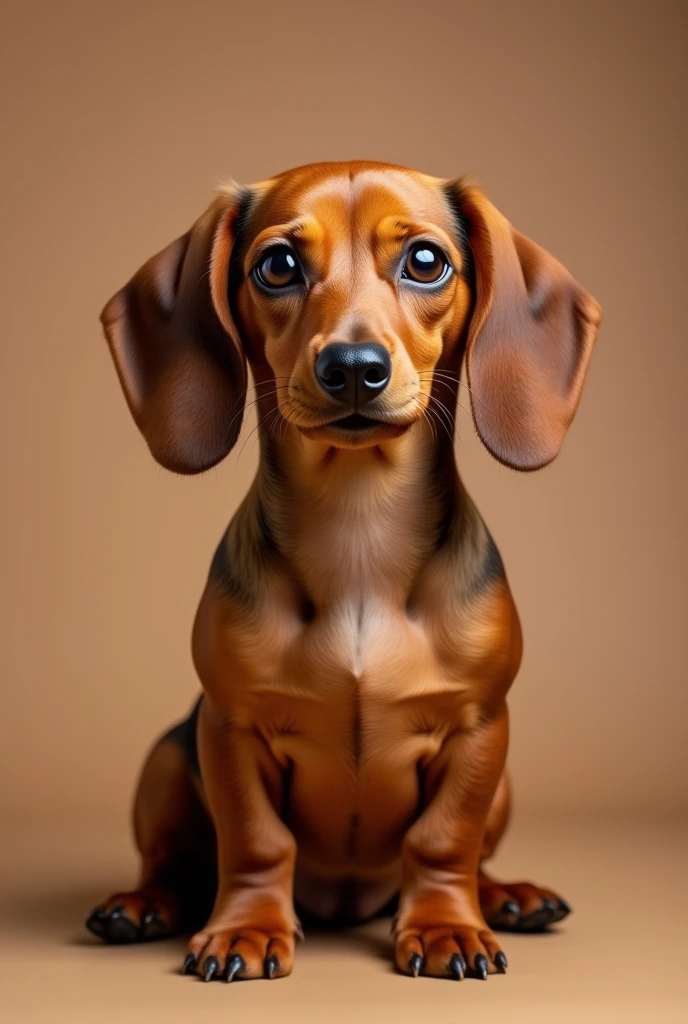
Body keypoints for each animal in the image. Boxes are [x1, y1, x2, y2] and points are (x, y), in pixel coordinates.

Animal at [87, 161, 602, 983]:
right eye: (277, 265)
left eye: (425, 261)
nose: (354, 369)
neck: (358, 529)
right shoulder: (229, 727)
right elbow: (256, 842)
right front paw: (246, 930)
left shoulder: (479, 728)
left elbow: (443, 840)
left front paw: (447, 926)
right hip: (167, 758)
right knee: (173, 864)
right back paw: (142, 905)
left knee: (477, 858)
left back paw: (507, 896)